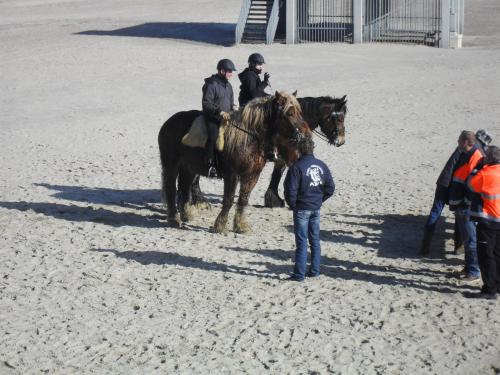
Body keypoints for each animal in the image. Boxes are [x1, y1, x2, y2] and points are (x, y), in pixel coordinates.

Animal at [158, 92, 310, 234]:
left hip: (188, 168)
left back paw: (186, 215)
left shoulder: (252, 176)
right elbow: (229, 199)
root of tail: (168, 123)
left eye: (299, 112)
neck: (248, 138)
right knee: (171, 188)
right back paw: (174, 219)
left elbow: (243, 199)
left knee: (184, 188)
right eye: (290, 113)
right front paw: (220, 225)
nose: (306, 135)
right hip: (171, 163)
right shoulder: (232, 175)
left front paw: (240, 226)